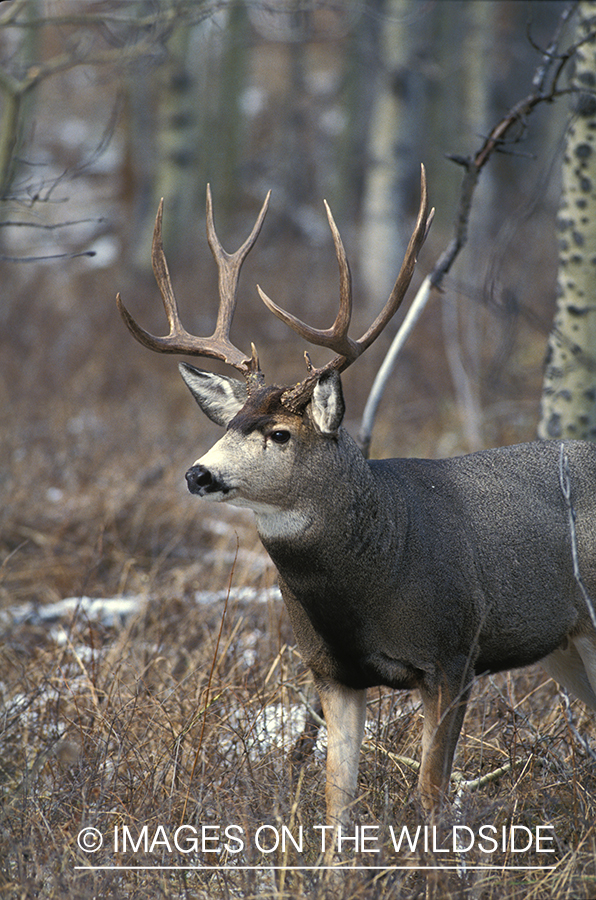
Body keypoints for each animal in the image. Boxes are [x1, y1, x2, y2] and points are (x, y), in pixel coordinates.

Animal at [117, 167, 596, 828]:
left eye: (280, 433)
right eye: (230, 423)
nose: (199, 475)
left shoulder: (453, 653)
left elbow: (431, 793)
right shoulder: (332, 673)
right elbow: (336, 803)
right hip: (567, 645)